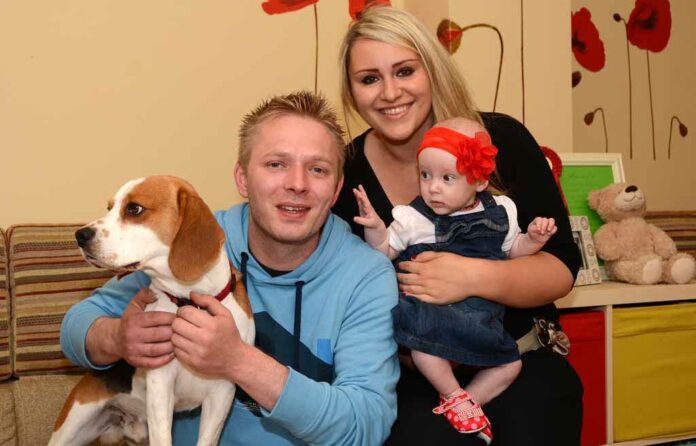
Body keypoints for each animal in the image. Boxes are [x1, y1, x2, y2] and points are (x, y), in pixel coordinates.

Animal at [49, 176, 256, 446]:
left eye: (134, 209)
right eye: (109, 208)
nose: (80, 234)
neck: (188, 300)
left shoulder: (221, 394)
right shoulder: (161, 384)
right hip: (70, 427)